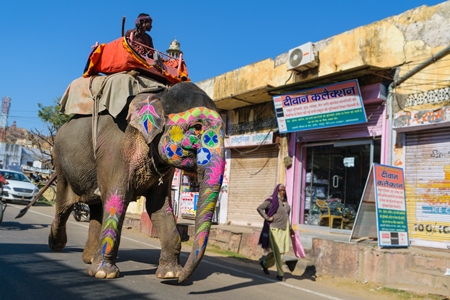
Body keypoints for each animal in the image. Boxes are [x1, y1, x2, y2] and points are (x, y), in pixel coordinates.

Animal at [48, 81, 225, 282]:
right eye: (196, 127)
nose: (181, 280)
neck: (160, 96)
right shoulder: (115, 150)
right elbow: (118, 199)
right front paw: (104, 274)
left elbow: (159, 206)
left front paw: (170, 274)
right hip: (60, 164)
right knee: (64, 205)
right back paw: (57, 244)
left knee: (96, 206)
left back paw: (89, 258)